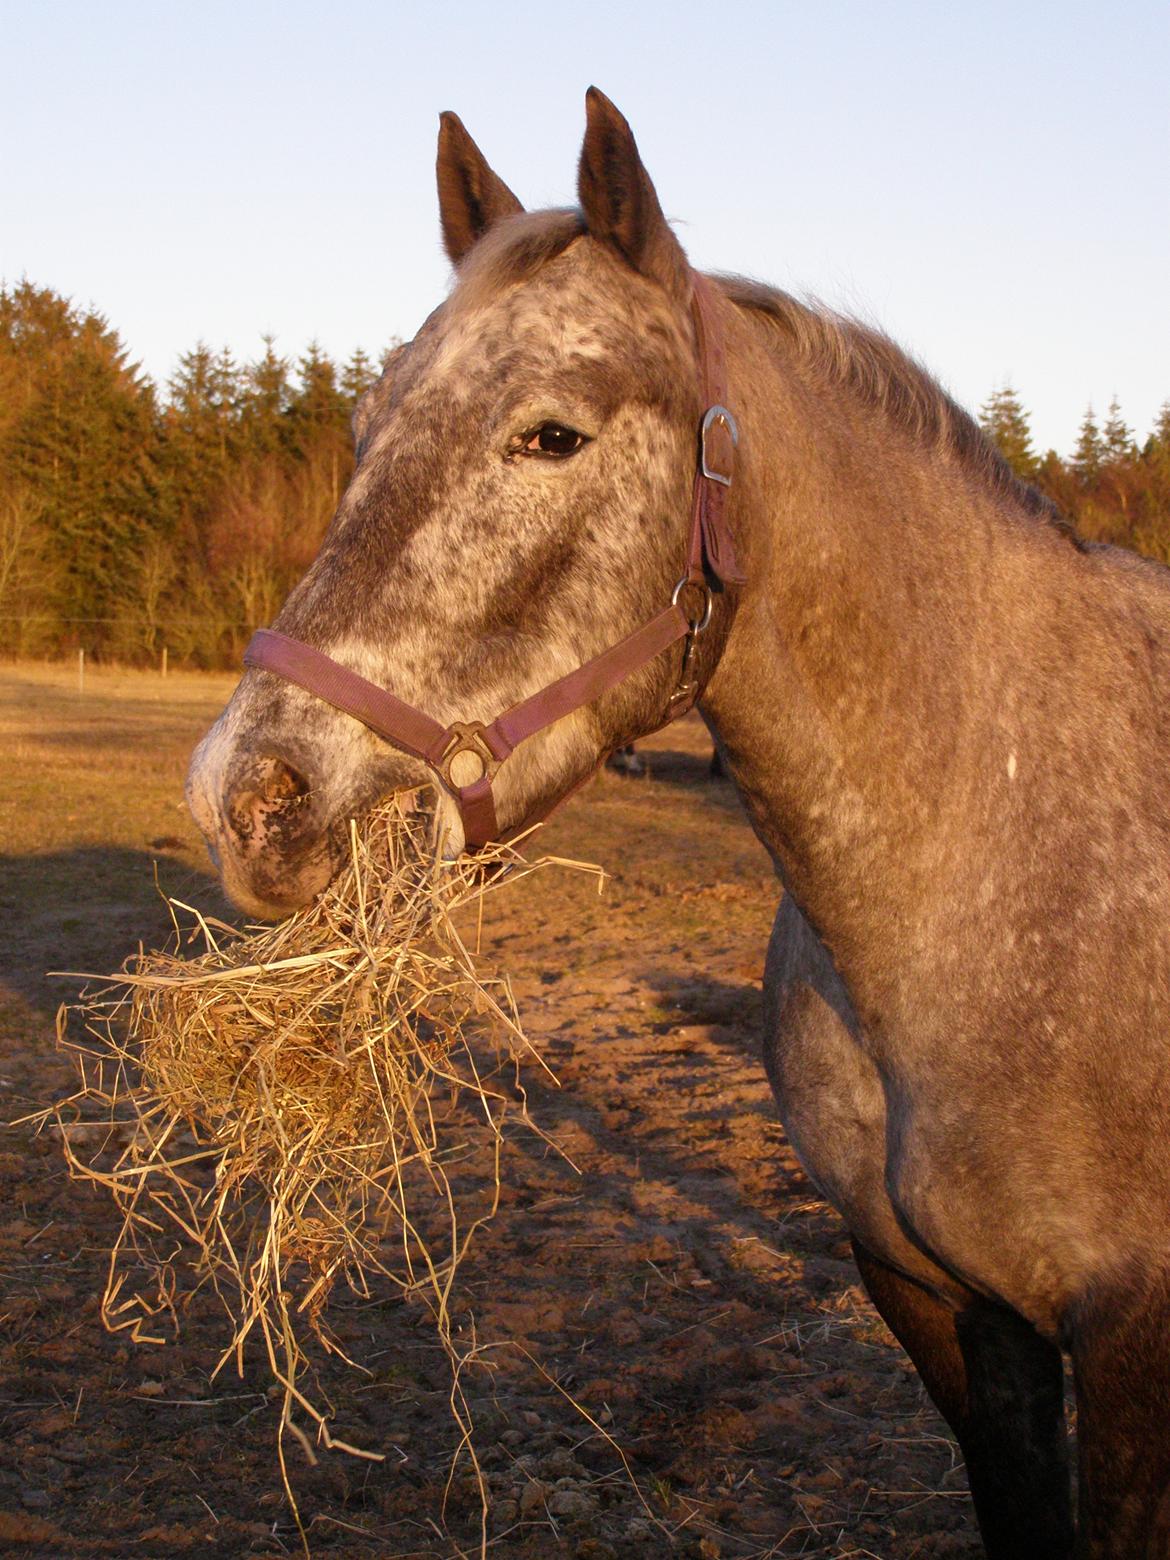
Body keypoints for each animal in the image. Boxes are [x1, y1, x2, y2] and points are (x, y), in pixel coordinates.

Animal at [187, 88, 1170, 1560]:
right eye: (364, 430)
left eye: (551, 435)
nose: (245, 797)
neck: (1006, 857)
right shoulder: (944, 1307)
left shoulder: (1130, 1342)